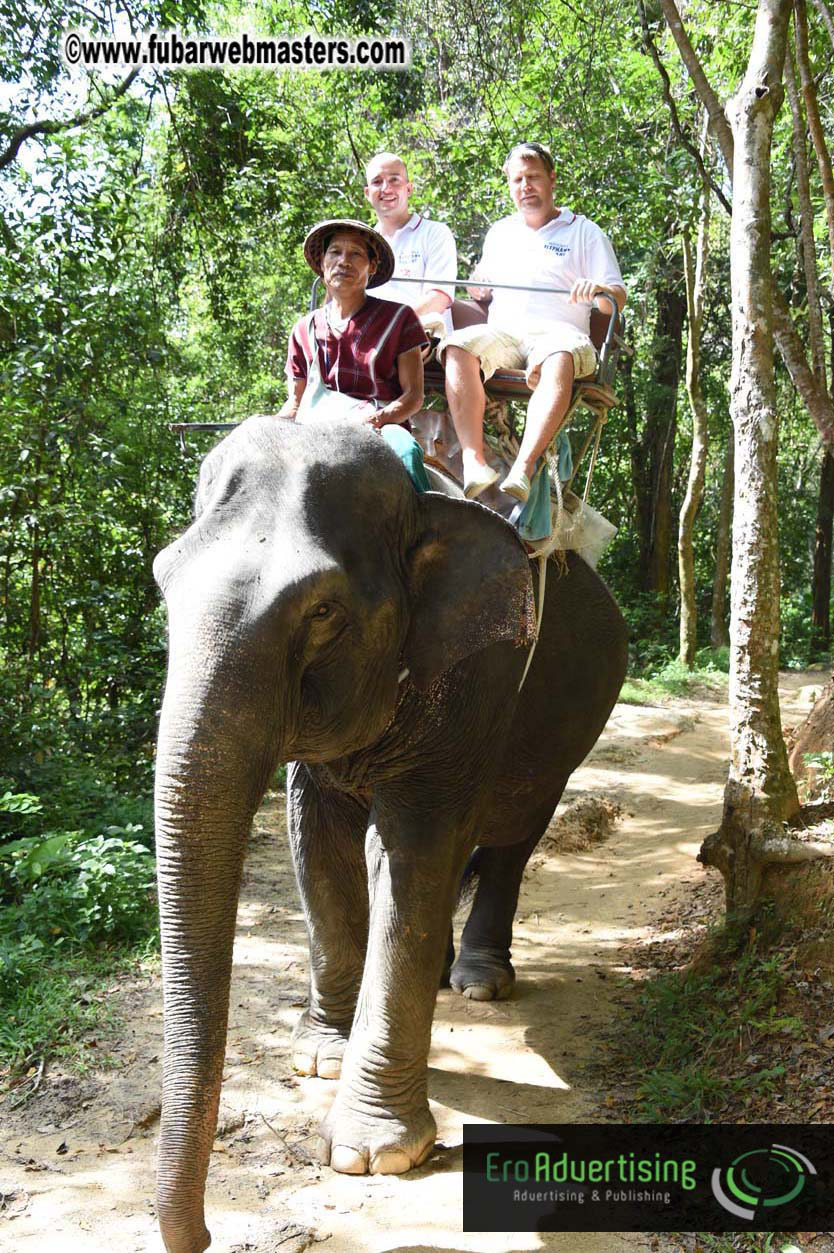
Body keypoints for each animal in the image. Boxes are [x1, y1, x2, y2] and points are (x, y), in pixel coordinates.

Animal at [152, 415, 628, 1253]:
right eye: (162, 580)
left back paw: (478, 978)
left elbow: (413, 846)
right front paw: (319, 1054)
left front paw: (373, 1152)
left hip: (567, 729)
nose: (204, 1235)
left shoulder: (478, 672)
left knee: (514, 833)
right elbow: (317, 839)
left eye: (321, 612)